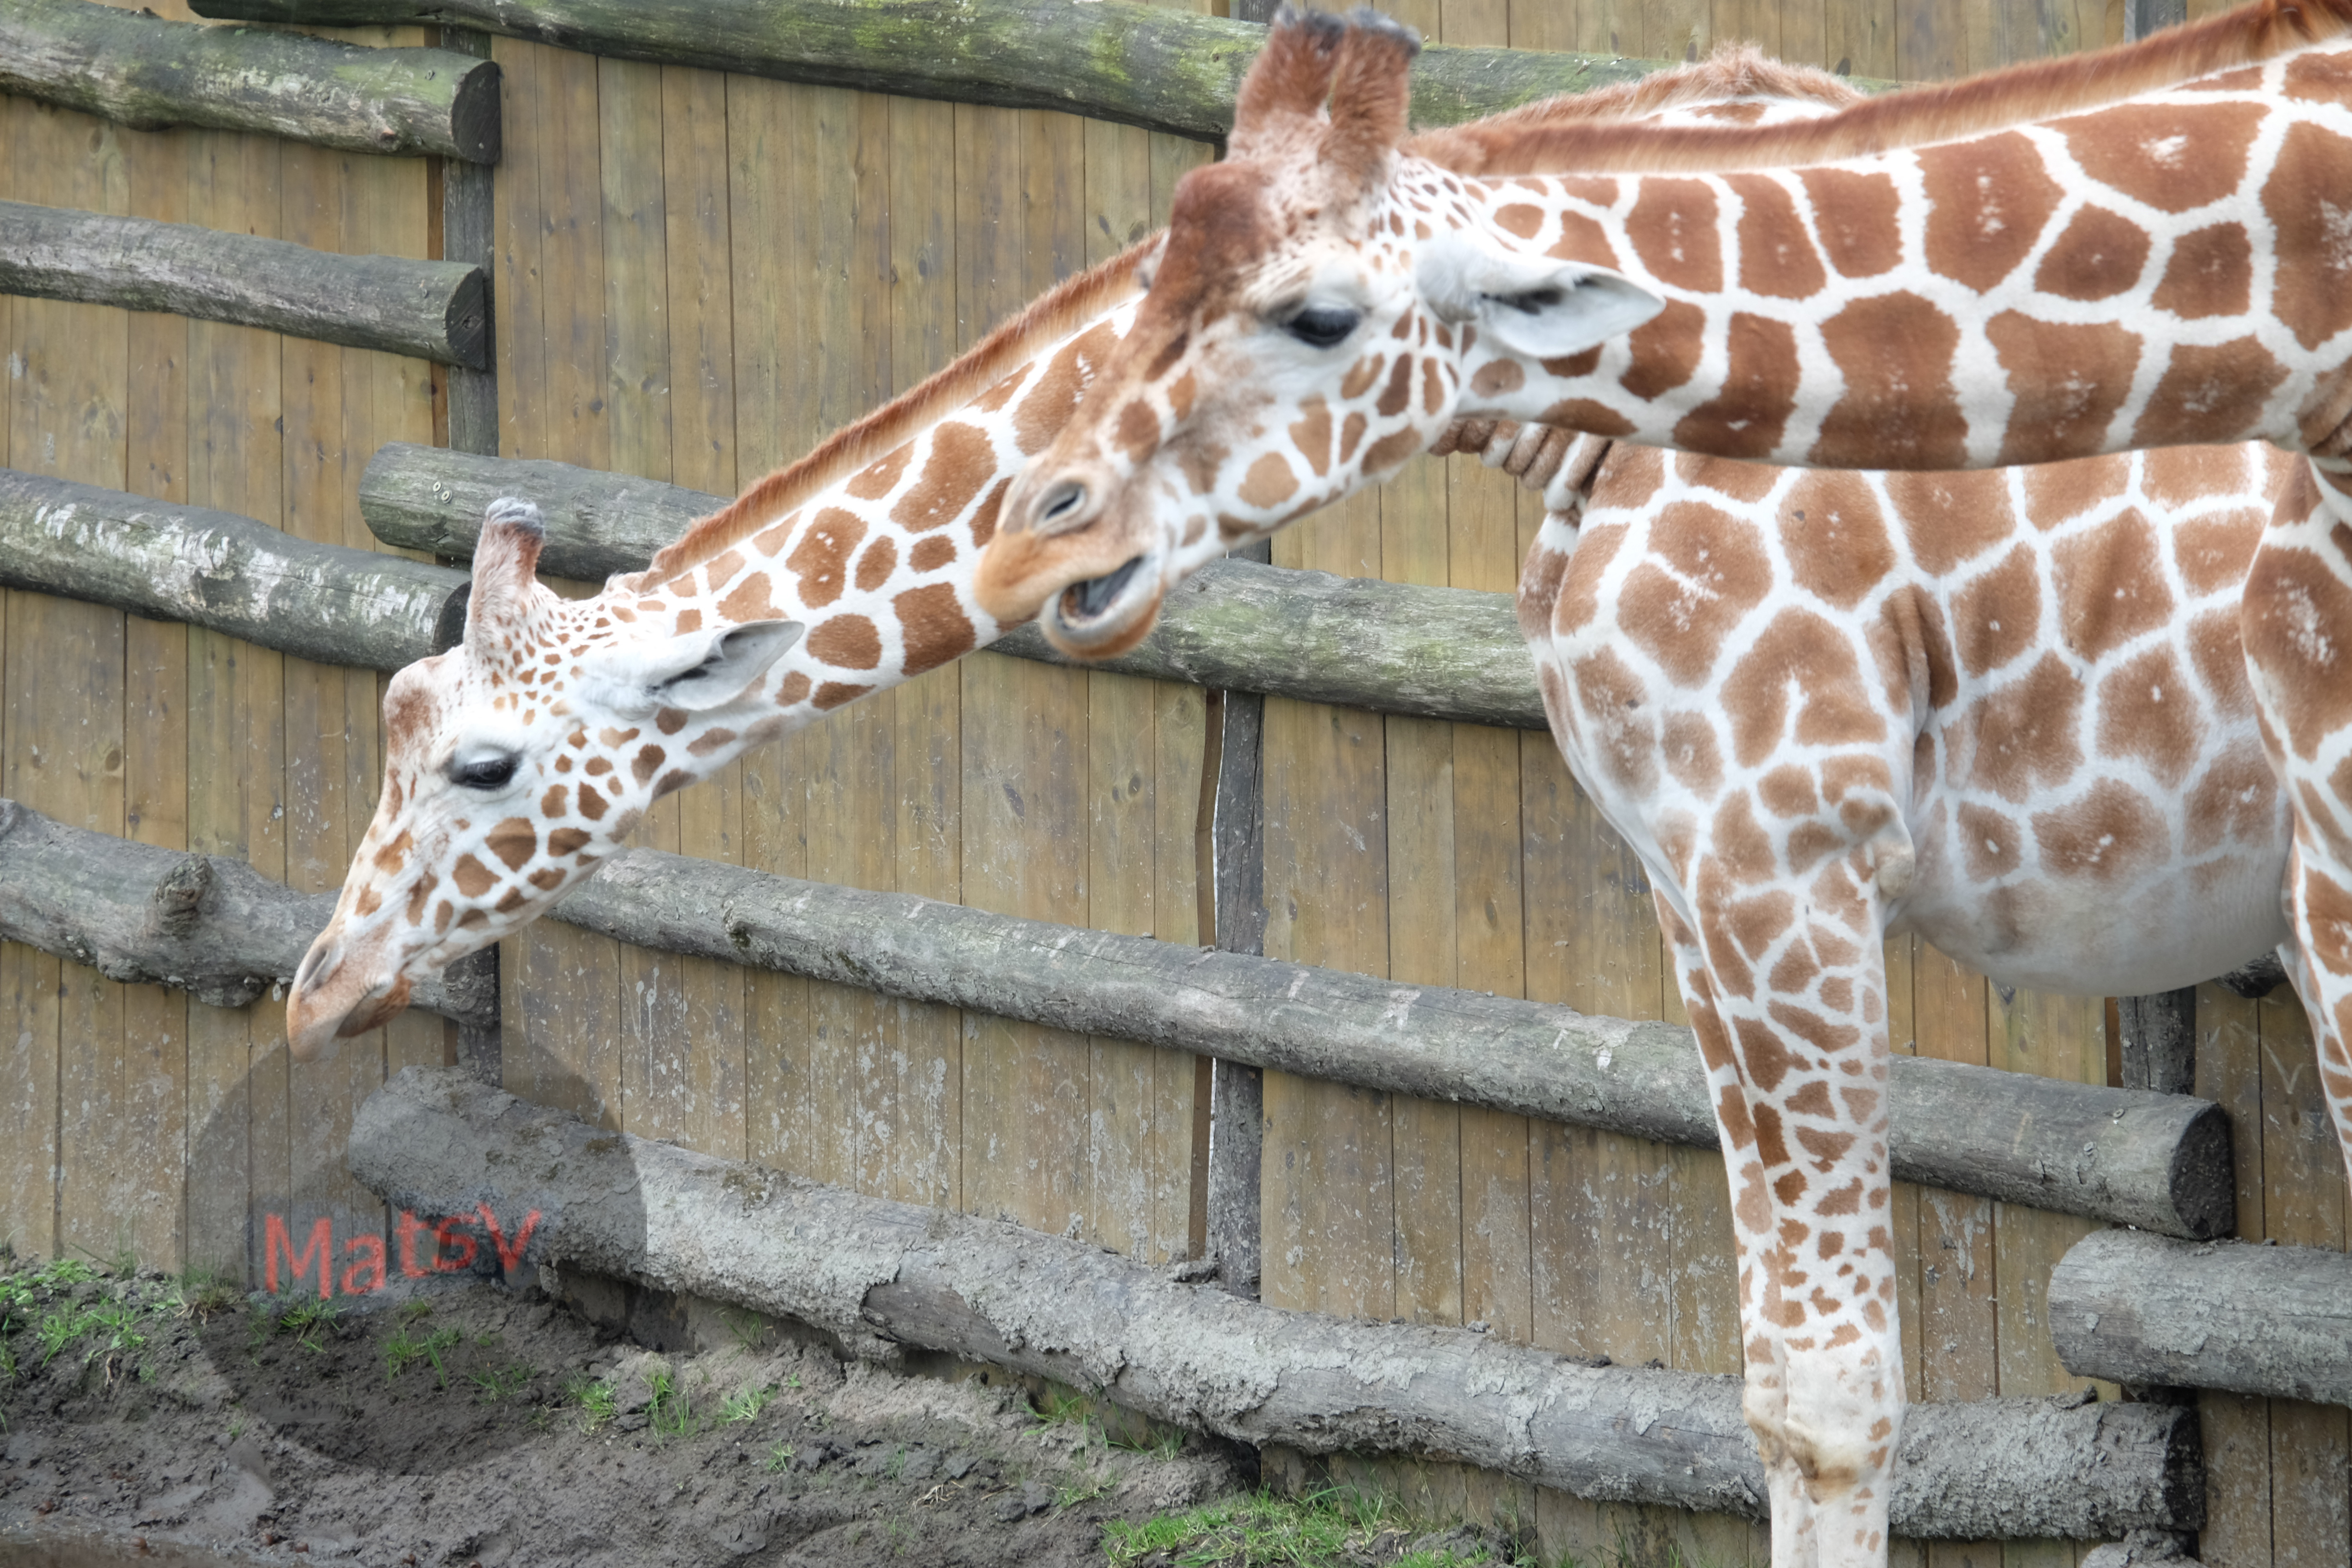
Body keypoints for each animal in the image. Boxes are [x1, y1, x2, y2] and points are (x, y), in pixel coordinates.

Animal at [971, 9, 2352, 1562]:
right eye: (1155, 269)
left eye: (1314, 316)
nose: (1038, 536)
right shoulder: (1691, 884)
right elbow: (1771, 1382)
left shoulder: (1787, 855)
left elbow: (1836, 1389)